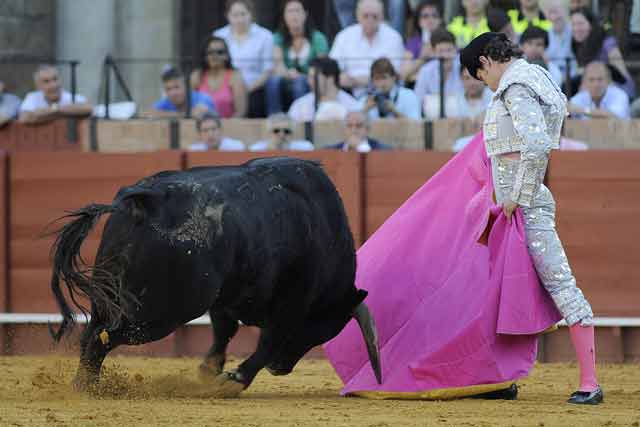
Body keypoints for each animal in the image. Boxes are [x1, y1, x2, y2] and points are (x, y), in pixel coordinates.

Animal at [51, 158, 380, 398]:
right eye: (318, 332)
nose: (281, 369)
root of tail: (147, 199)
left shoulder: (228, 296)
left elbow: (224, 330)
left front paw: (209, 370)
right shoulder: (292, 303)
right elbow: (268, 340)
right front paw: (232, 380)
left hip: (109, 295)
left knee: (91, 334)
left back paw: (83, 384)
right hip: (160, 313)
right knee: (104, 337)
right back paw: (89, 388)